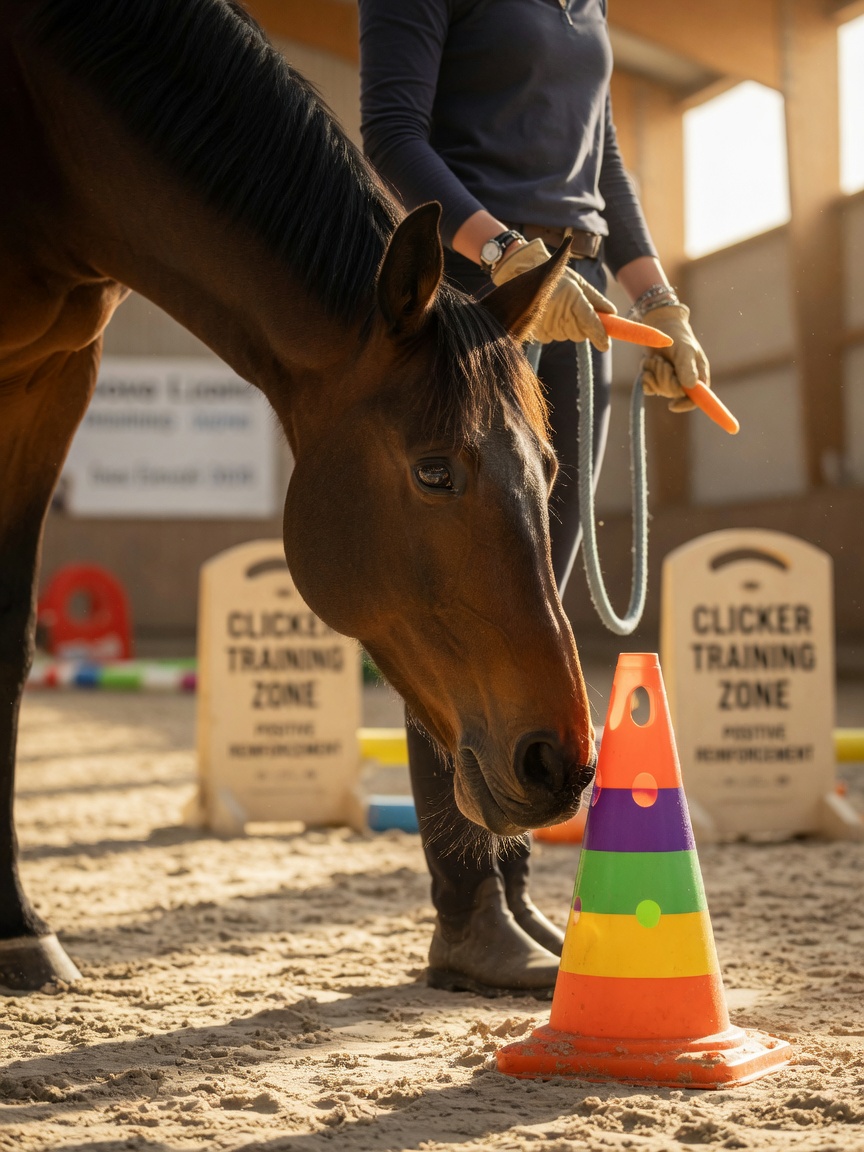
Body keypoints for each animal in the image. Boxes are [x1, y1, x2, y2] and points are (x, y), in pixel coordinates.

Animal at [0, 0, 596, 992]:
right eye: (434, 470)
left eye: (549, 469)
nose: (562, 763)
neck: (46, 130)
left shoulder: (56, 377)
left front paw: (15, 926)